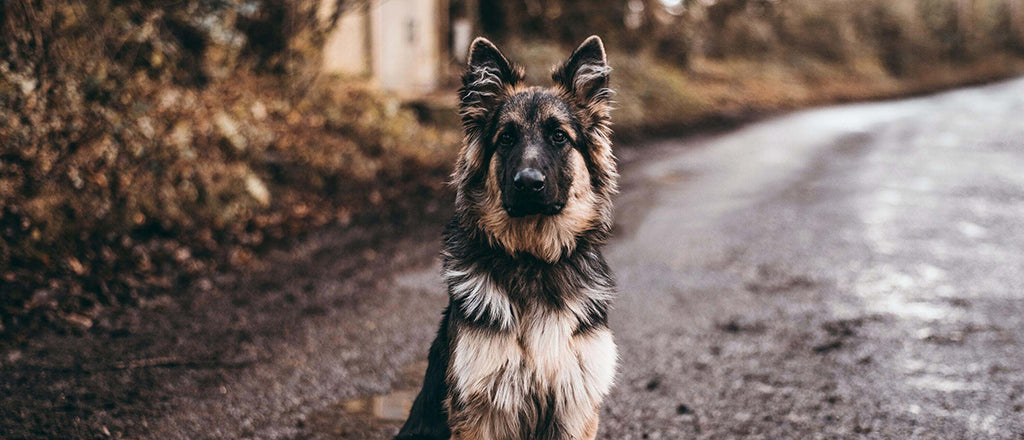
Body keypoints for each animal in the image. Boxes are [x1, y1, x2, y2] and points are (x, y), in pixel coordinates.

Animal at [395, 36, 618, 440]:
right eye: (507, 138)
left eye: (559, 136)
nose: (528, 183)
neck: (533, 259)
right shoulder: (481, 409)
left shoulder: (574, 405)